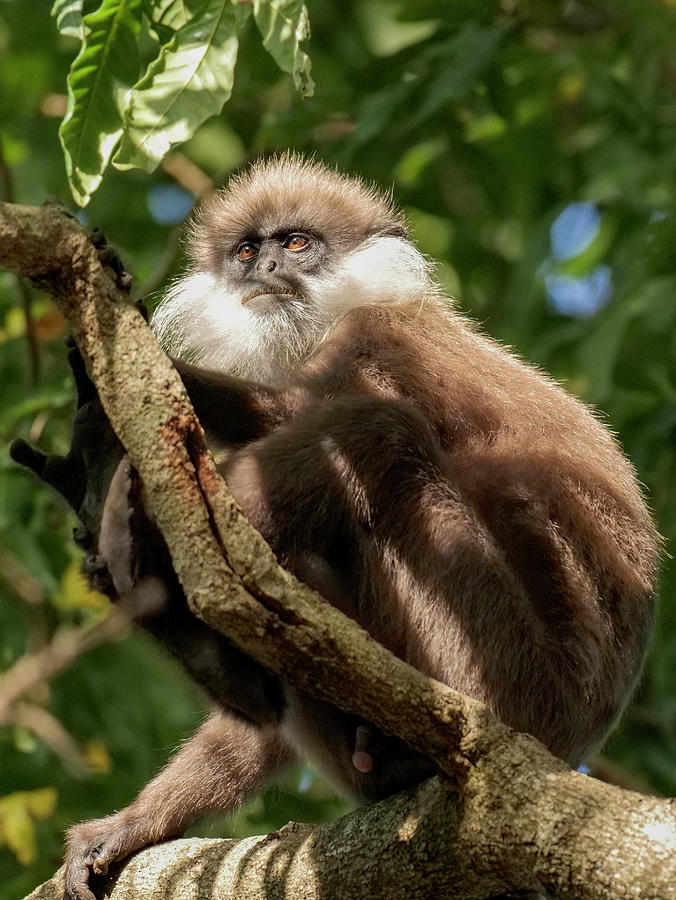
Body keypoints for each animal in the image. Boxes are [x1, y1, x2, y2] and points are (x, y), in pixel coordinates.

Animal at [11, 155, 656, 900]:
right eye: (245, 251)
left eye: (296, 244)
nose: (263, 270)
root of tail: (567, 745)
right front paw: (134, 824)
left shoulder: (378, 334)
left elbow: (290, 412)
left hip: (497, 672)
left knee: (376, 430)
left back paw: (143, 559)